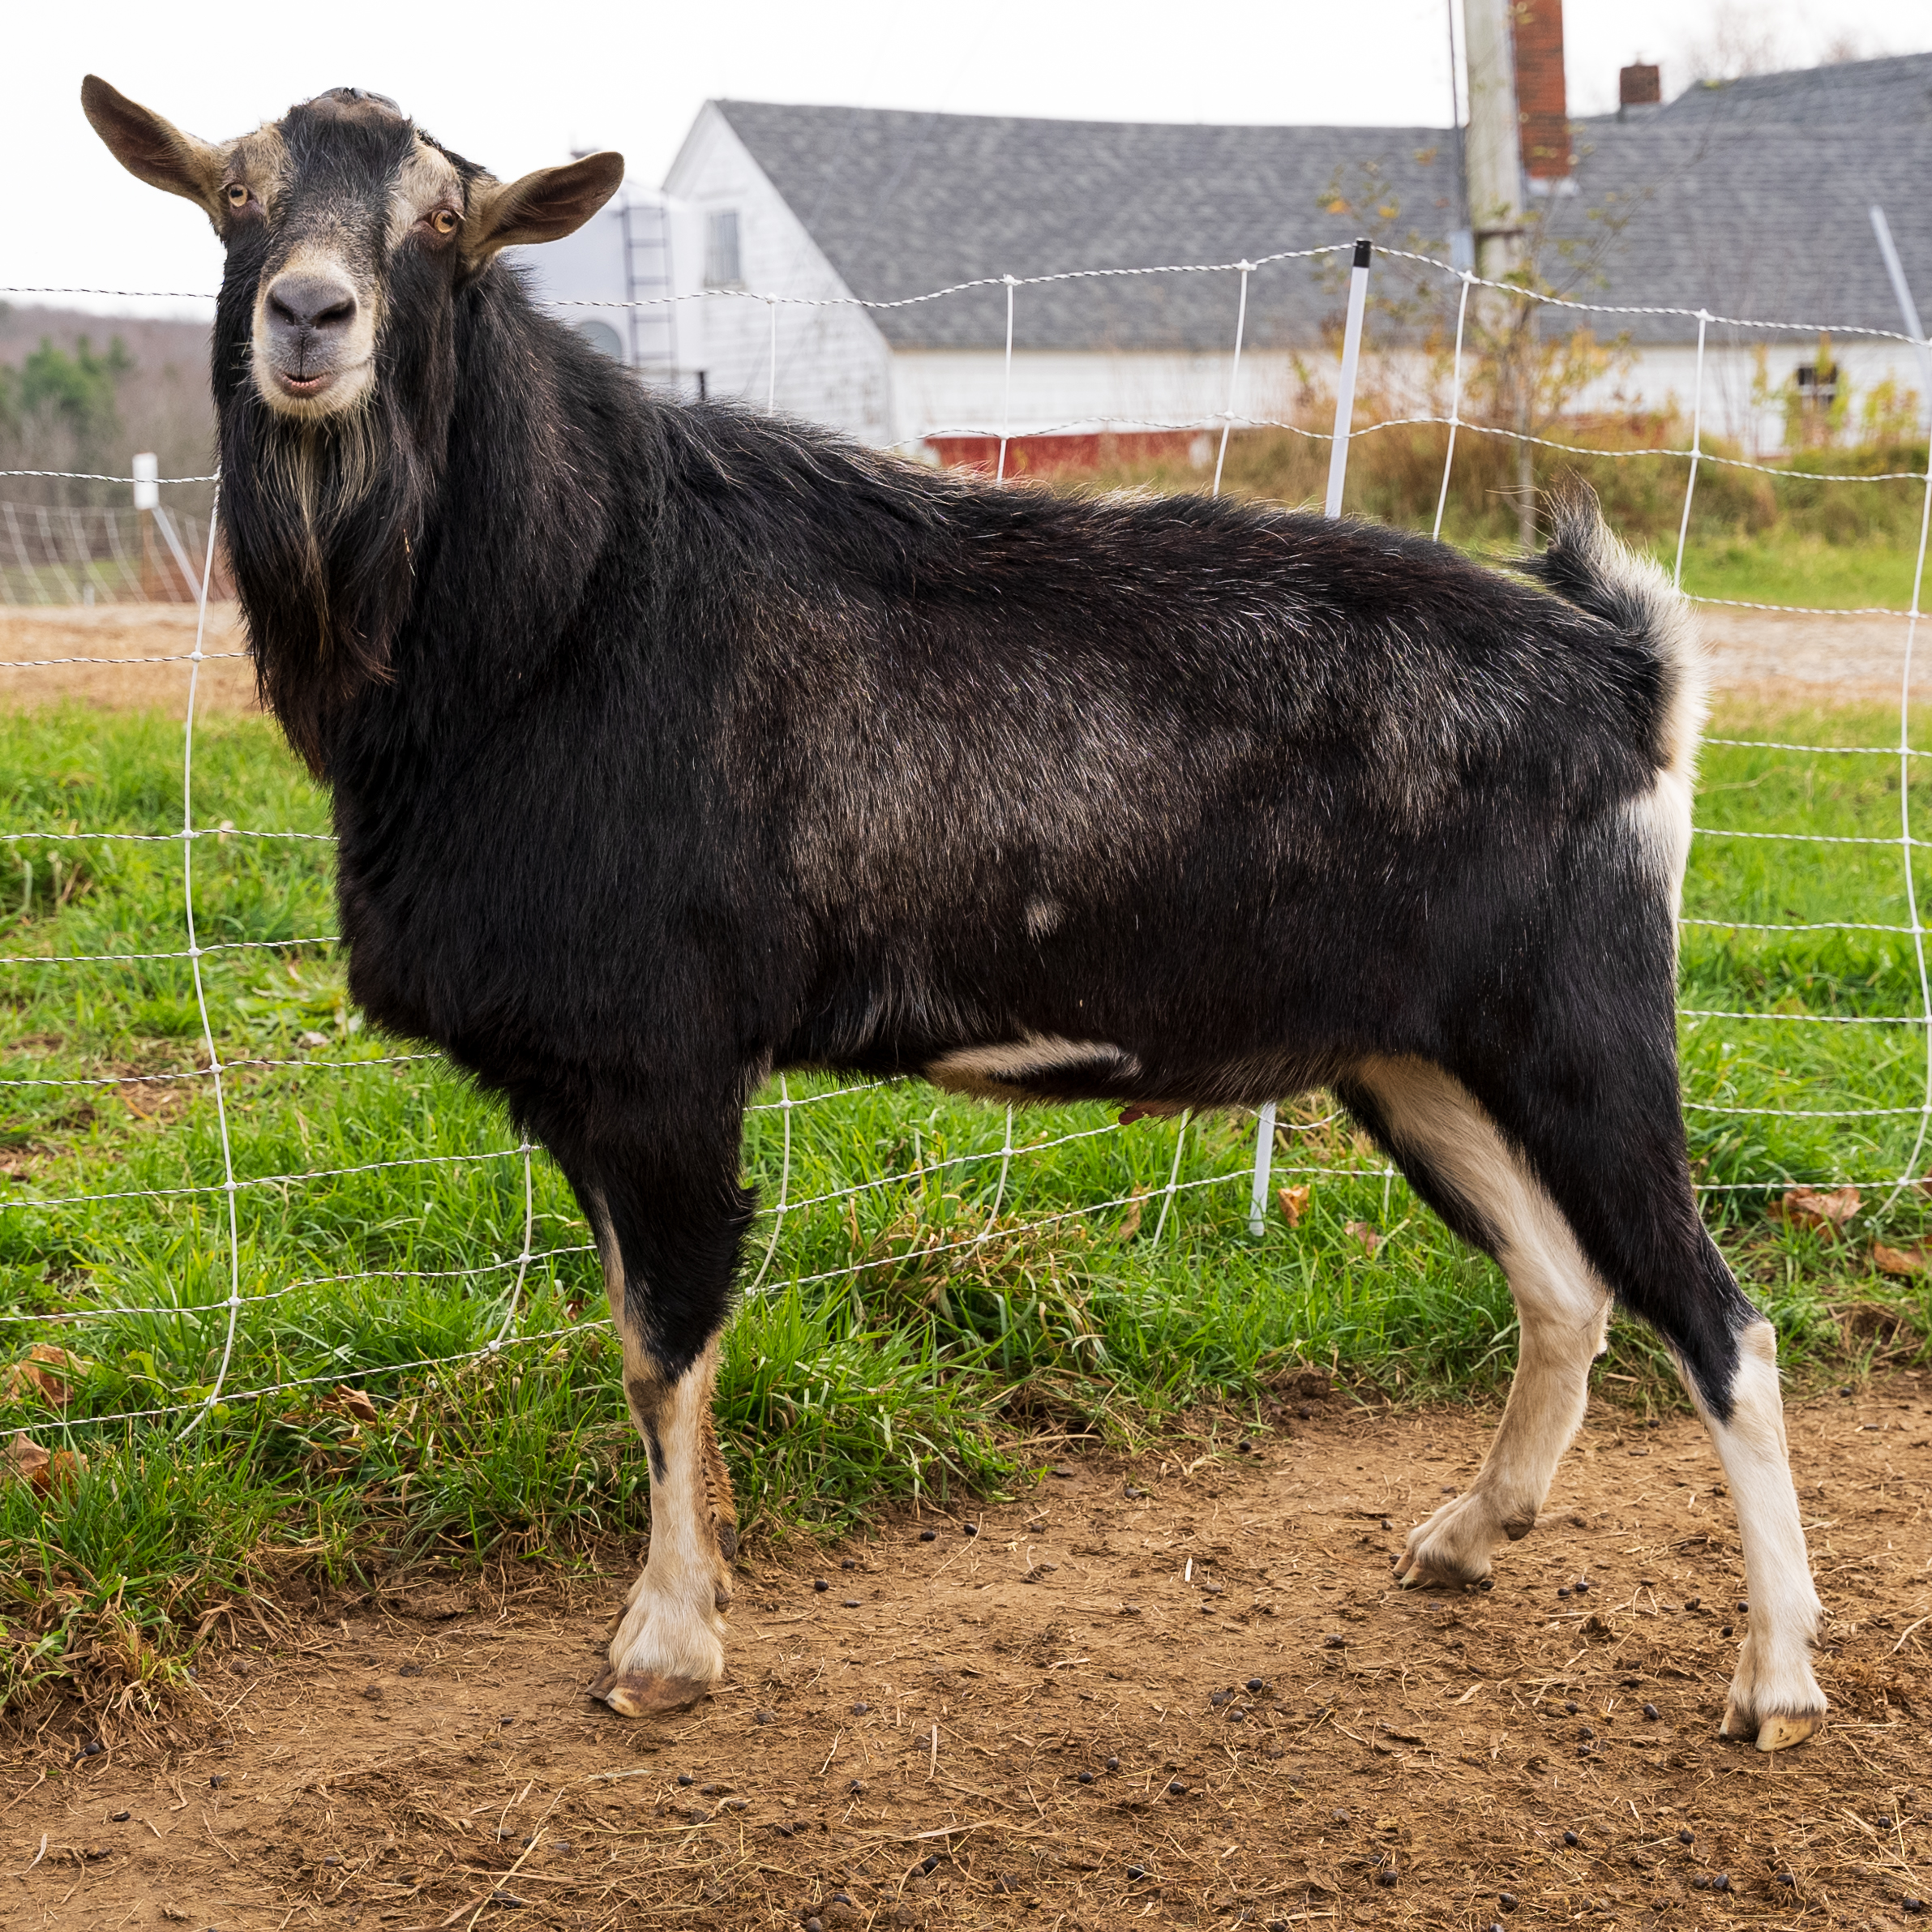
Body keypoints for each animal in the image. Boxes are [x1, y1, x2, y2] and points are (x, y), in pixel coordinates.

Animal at [79, 75, 1823, 1746]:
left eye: (450, 222)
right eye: (233, 195)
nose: (310, 317)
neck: (553, 612)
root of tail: (1628, 674)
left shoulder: (664, 1061)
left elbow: (662, 1343)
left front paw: (667, 1644)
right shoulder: (581, 1082)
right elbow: (638, 1338)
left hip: (1581, 1024)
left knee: (1715, 1316)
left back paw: (1778, 1679)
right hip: (1411, 1050)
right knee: (1562, 1286)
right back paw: (1466, 1535)